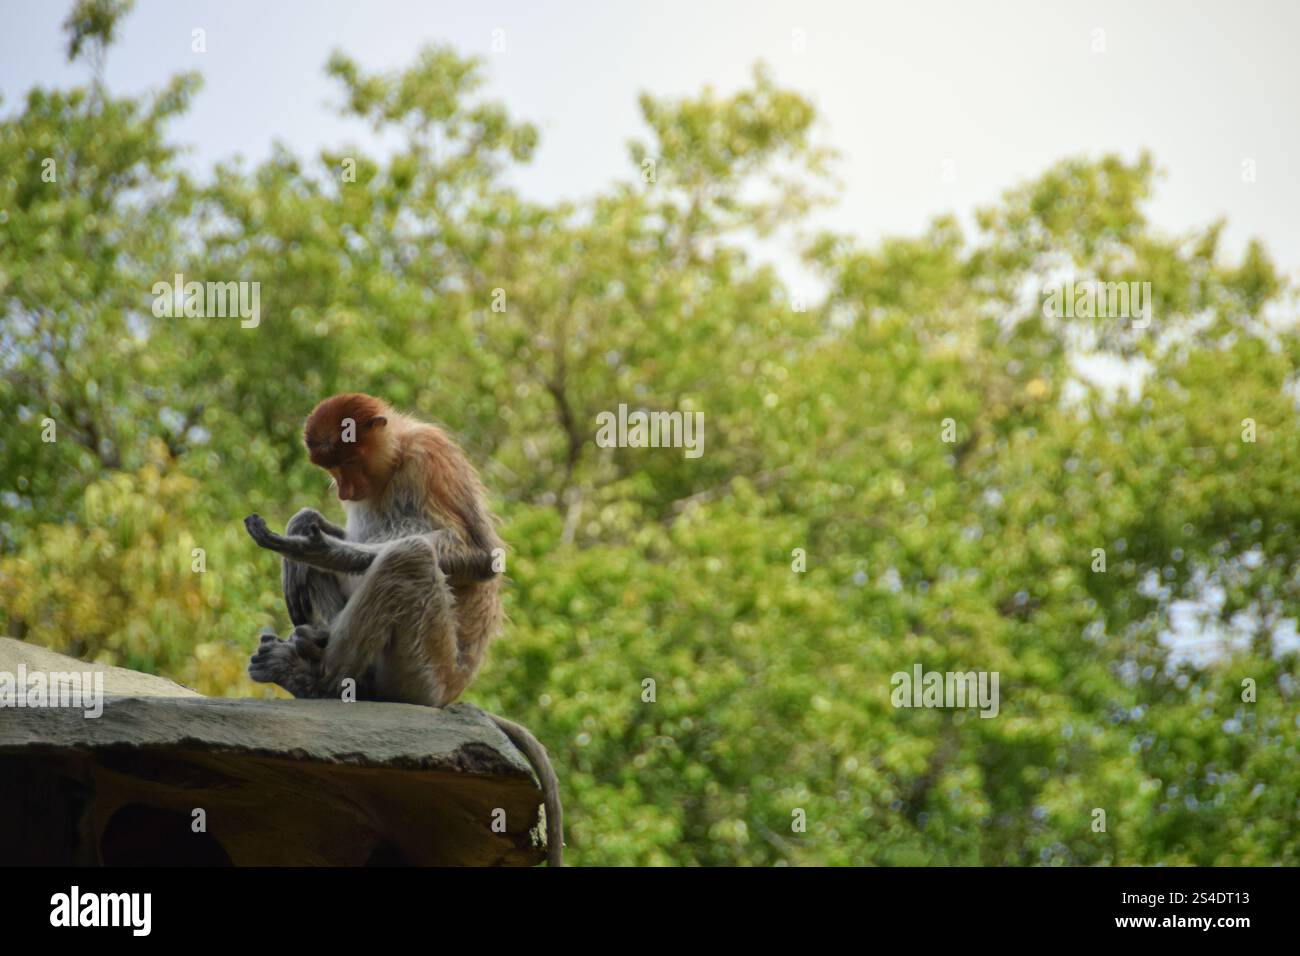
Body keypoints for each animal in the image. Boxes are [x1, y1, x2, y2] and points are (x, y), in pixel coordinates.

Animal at [243, 392, 563, 866]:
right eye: (330, 468)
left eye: (347, 460)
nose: (343, 490)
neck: (393, 462)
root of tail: (450, 695)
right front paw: (302, 525)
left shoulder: (430, 458)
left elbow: (483, 557)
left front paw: (320, 547)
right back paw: (320, 652)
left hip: (425, 671)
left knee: (407, 557)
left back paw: (315, 679)